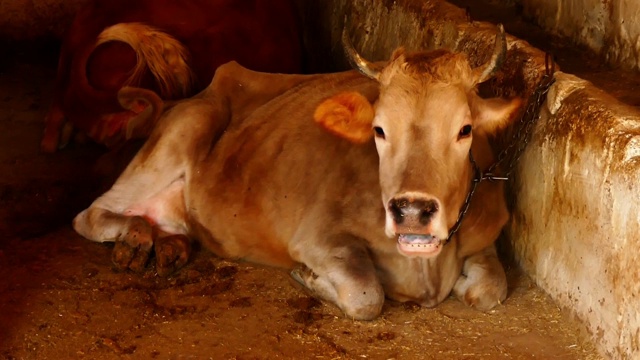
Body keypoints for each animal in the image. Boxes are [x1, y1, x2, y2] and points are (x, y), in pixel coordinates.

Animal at [72, 23, 524, 320]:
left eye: (465, 129)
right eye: (379, 129)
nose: (412, 212)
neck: (425, 268)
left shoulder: (485, 239)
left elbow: (491, 288)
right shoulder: (319, 236)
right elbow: (366, 295)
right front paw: (309, 278)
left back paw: (169, 246)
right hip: (185, 126)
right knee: (90, 214)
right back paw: (136, 237)